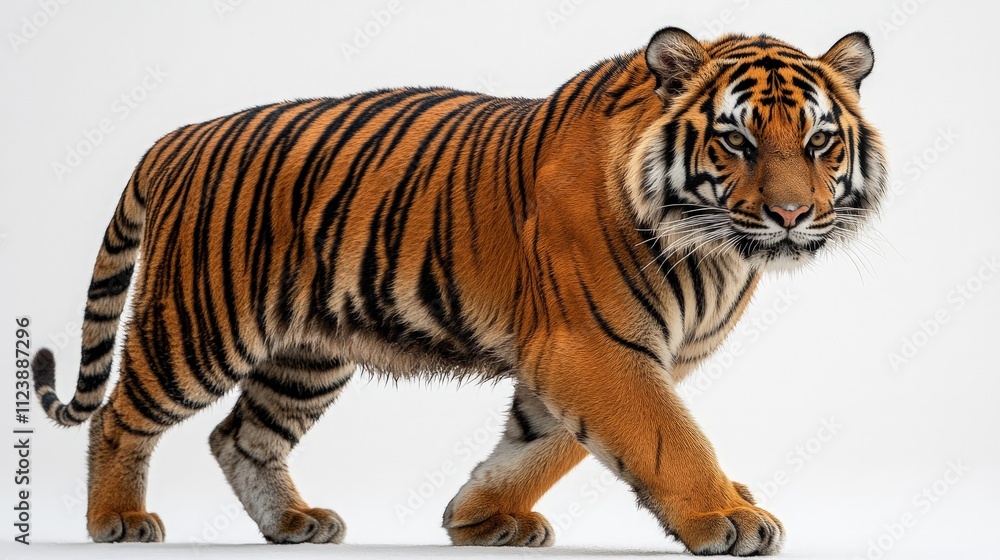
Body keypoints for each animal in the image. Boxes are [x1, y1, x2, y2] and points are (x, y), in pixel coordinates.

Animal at [30, 26, 886, 555]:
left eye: (819, 141)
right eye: (737, 140)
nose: (790, 215)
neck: (716, 253)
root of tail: (180, 136)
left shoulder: (587, 357)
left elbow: (546, 445)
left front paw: (477, 516)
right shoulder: (593, 347)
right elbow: (668, 439)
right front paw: (730, 516)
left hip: (307, 354)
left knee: (240, 436)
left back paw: (294, 522)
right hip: (200, 325)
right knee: (120, 416)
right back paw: (118, 520)